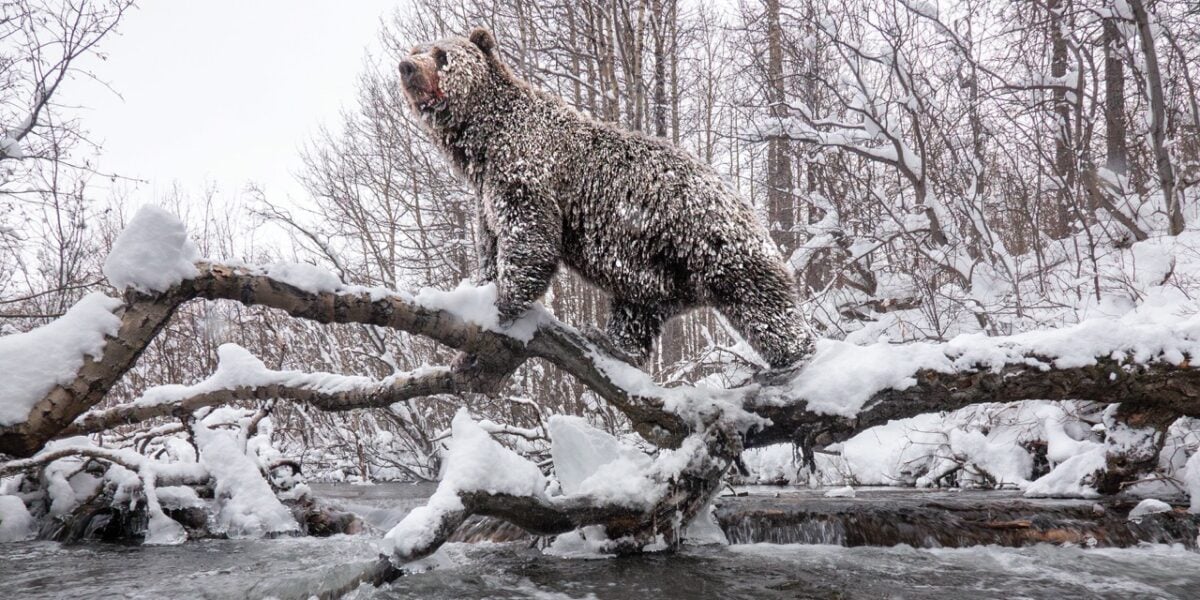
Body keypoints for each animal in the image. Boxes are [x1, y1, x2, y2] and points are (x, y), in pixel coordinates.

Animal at [398, 27, 811, 371]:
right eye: (417, 49)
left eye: (441, 55)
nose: (407, 66)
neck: (482, 142)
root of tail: (748, 206)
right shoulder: (486, 193)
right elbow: (490, 243)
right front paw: (477, 297)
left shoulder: (526, 170)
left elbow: (531, 238)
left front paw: (502, 307)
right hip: (655, 267)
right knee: (637, 312)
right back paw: (612, 343)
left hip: (713, 244)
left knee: (764, 308)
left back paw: (798, 359)